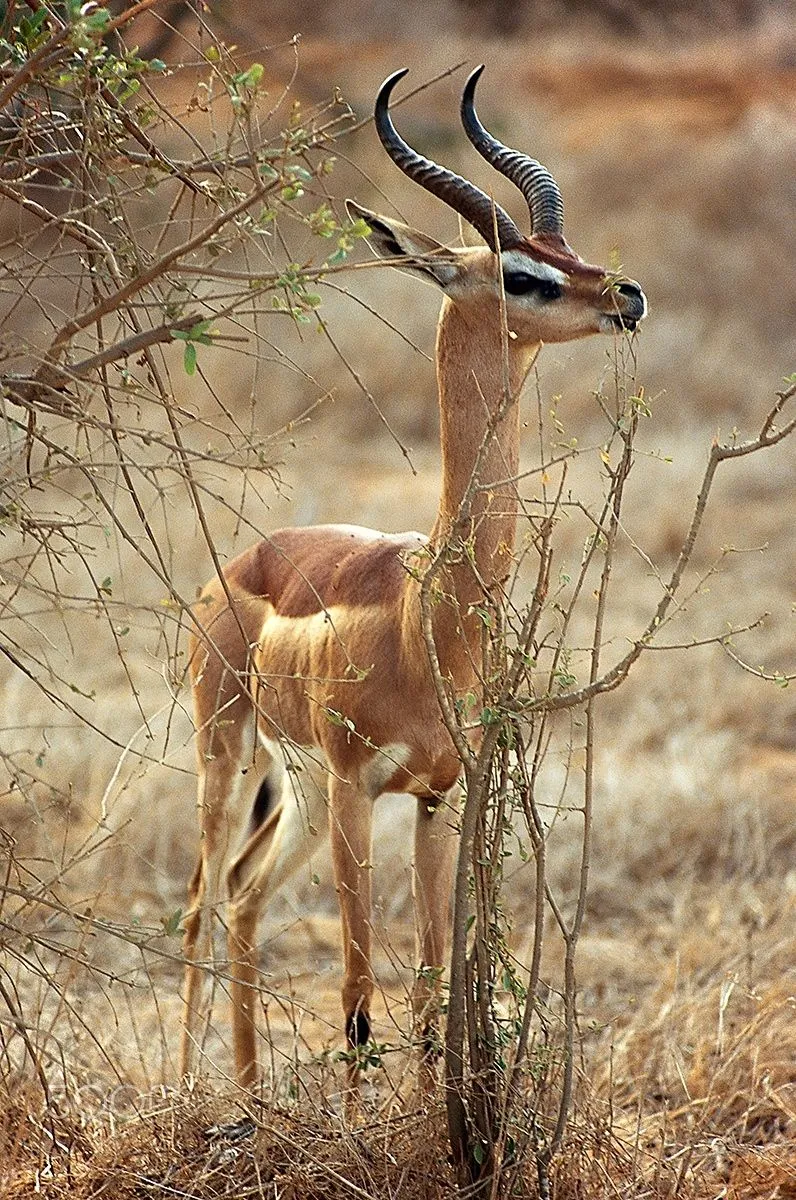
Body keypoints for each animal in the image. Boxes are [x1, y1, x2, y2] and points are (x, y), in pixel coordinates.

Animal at [179, 66, 647, 1097]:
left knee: (240, 895)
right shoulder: (362, 792)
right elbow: (358, 987)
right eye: (522, 272)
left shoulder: (440, 797)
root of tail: (245, 562)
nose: (628, 291)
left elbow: (433, 989)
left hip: (299, 790)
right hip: (234, 758)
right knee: (199, 903)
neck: (429, 613)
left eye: (565, 248)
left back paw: (247, 1092)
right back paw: (192, 1095)